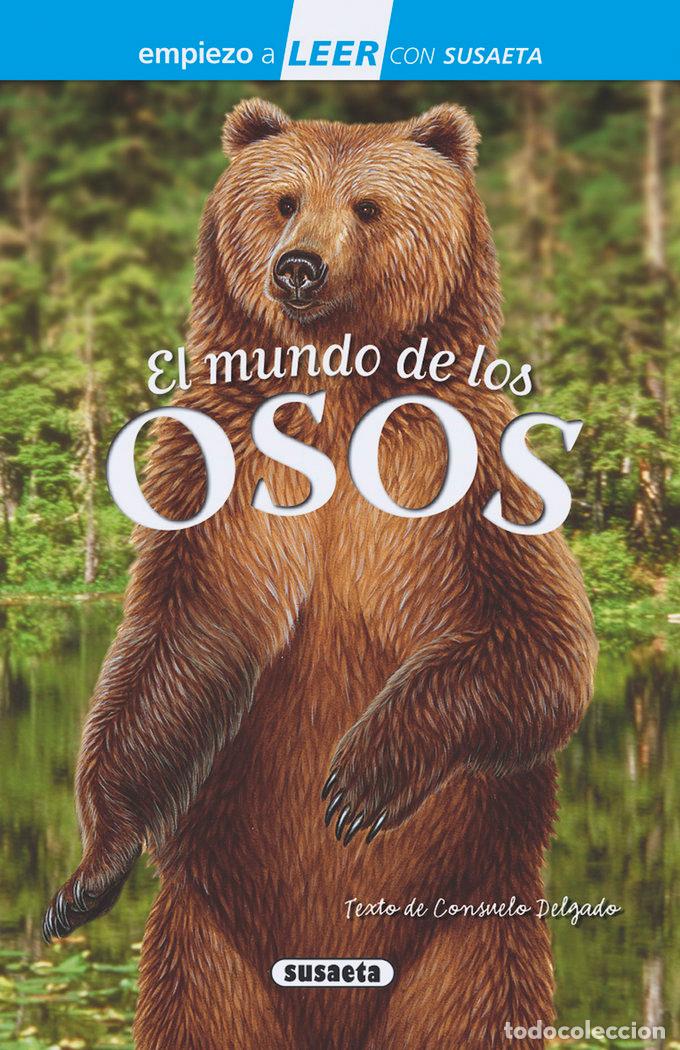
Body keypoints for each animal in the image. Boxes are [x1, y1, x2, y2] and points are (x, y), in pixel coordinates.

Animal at [44, 99, 597, 1050]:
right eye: (283, 200)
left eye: (368, 207)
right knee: (198, 1013)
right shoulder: (223, 476)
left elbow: (542, 639)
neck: (338, 394)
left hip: (465, 938)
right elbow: (176, 646)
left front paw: (357, 780)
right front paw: (88, 873)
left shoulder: (466, 474)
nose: (298, 267)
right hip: (210, 951)